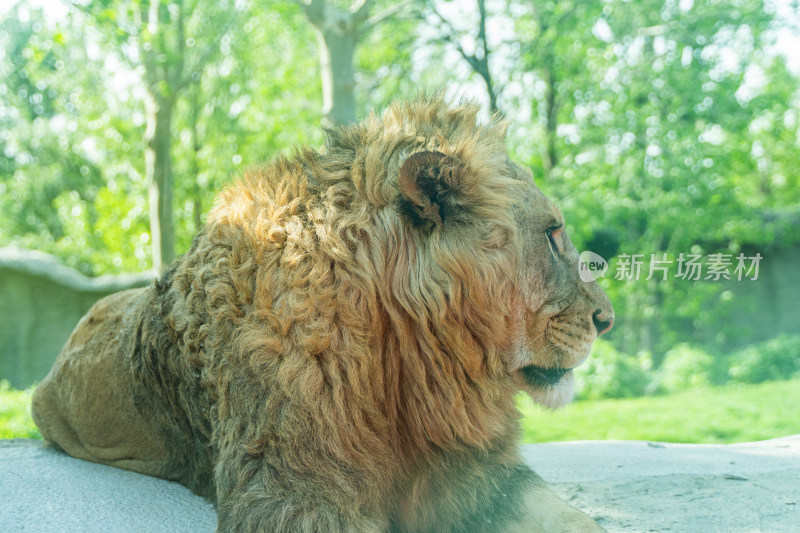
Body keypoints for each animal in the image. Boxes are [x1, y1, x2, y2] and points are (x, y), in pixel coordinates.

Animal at [32, 96, 612, 532]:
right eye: (552, 234)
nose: (606, 320)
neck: (407, 364)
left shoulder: (471, 469)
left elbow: (571, 518)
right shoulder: (290, 493)